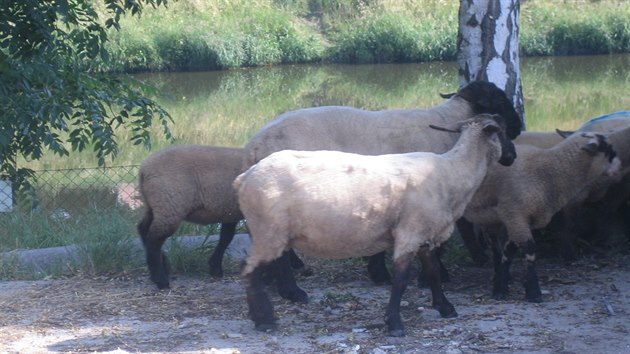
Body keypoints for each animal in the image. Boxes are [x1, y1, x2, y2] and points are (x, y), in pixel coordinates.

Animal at [237, 114, 520, 338]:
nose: (512, 156)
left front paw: (445, 307)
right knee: (249, 271)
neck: (452, 173)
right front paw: (394, 323)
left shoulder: (425, 235)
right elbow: (401, 280)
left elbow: (433, 272)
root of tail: (245, 176)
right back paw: (264, 320)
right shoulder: (409, 233)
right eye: (503, 131)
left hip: (268, 231)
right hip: (268, 231)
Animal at [464, 131, 624, 302]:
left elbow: (509, 251)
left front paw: (501, 287)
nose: (621, 169)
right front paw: (533, 292)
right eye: (608, 150)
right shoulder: (515, 214)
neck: (549, 172)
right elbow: (529, 249)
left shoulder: (518, 219)